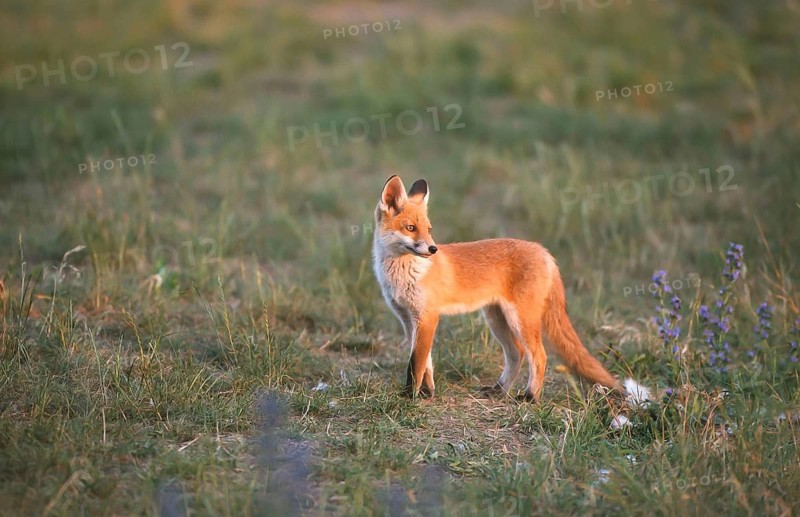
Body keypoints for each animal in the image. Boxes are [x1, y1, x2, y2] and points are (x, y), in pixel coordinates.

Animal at [372, 175, 626, 402]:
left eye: (429, 229)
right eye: (410, 228)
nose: (433, 249)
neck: (404, 274)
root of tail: (543, 250)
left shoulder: (427, 317)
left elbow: (416, 364)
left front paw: (409, 396)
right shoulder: (408, 319)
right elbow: (426, 363)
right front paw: (427, 392)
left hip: (520, 320)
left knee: (539, 355)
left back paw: (531, 396)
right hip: (497, 319)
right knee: (517, 354)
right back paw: (499, 390)